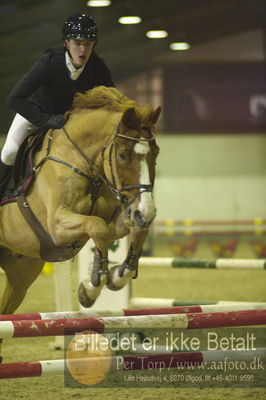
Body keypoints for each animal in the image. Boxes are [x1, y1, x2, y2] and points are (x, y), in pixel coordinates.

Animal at [0, 85, 160, 322]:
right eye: (122, 155)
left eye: (156, 154)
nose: (147, 212)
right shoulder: (56, 227)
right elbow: (97, 226)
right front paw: (92, 287)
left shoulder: (122, 216)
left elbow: (134, 231)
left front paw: (115, 276)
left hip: (20, 273)